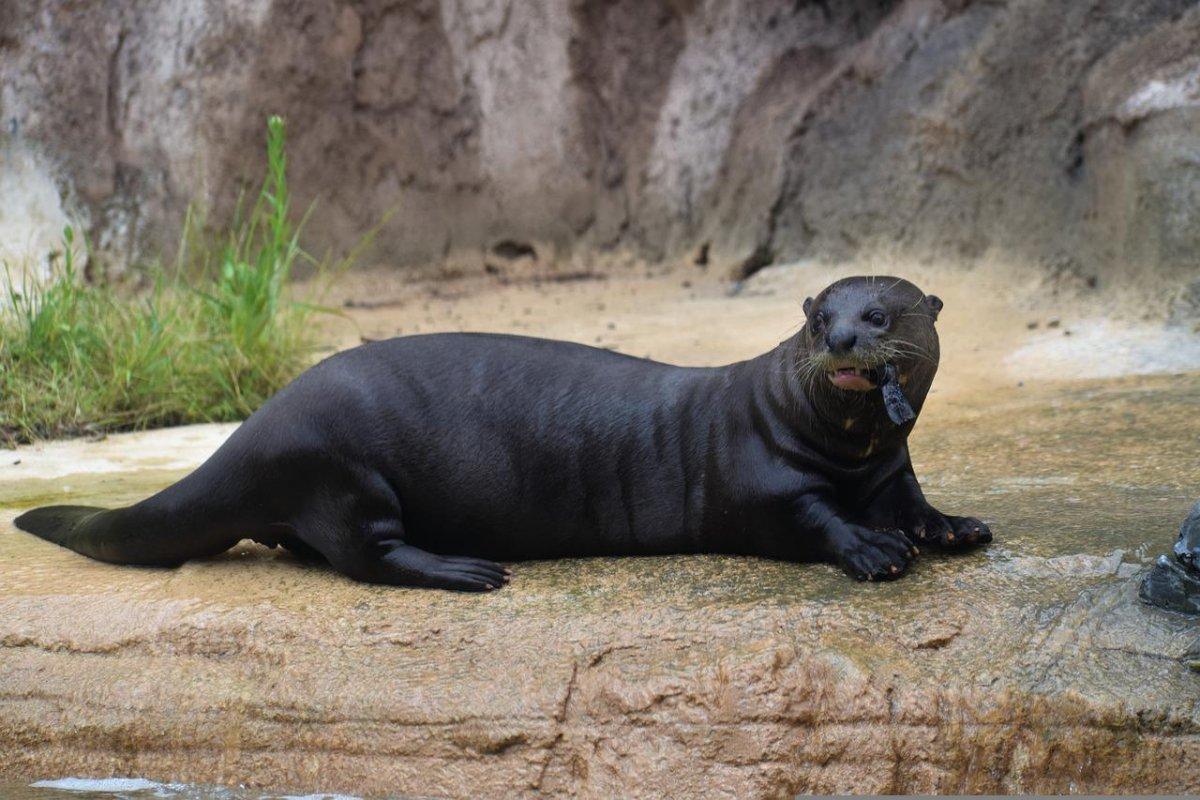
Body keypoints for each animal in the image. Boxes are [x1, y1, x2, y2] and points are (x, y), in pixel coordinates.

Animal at [16, 275, 993, 587]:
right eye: (818, 317)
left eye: (878, 313)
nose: (840, 340)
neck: (845, 453)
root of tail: (257, 423)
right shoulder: (765, 480)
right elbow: (812, 519)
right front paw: (870, 549)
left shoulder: (891, 470)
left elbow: (918, 503)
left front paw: (956, 527)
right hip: (341, 468)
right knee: (366, 554)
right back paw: (466, 569)